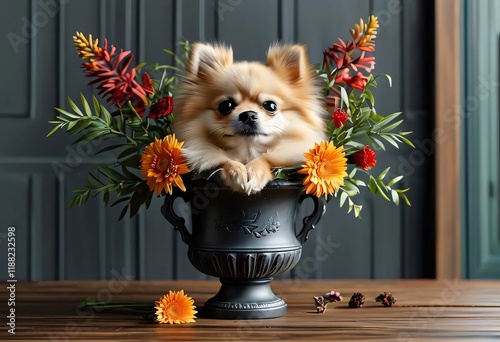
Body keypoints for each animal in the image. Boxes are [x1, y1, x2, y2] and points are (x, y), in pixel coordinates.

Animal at [174, 42, 326, 195]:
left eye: (271, 106)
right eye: (225, 105)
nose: (248, 115)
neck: (247, 154)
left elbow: (267, 157)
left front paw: (255, 171)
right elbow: (221, 159)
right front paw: (237, 171)